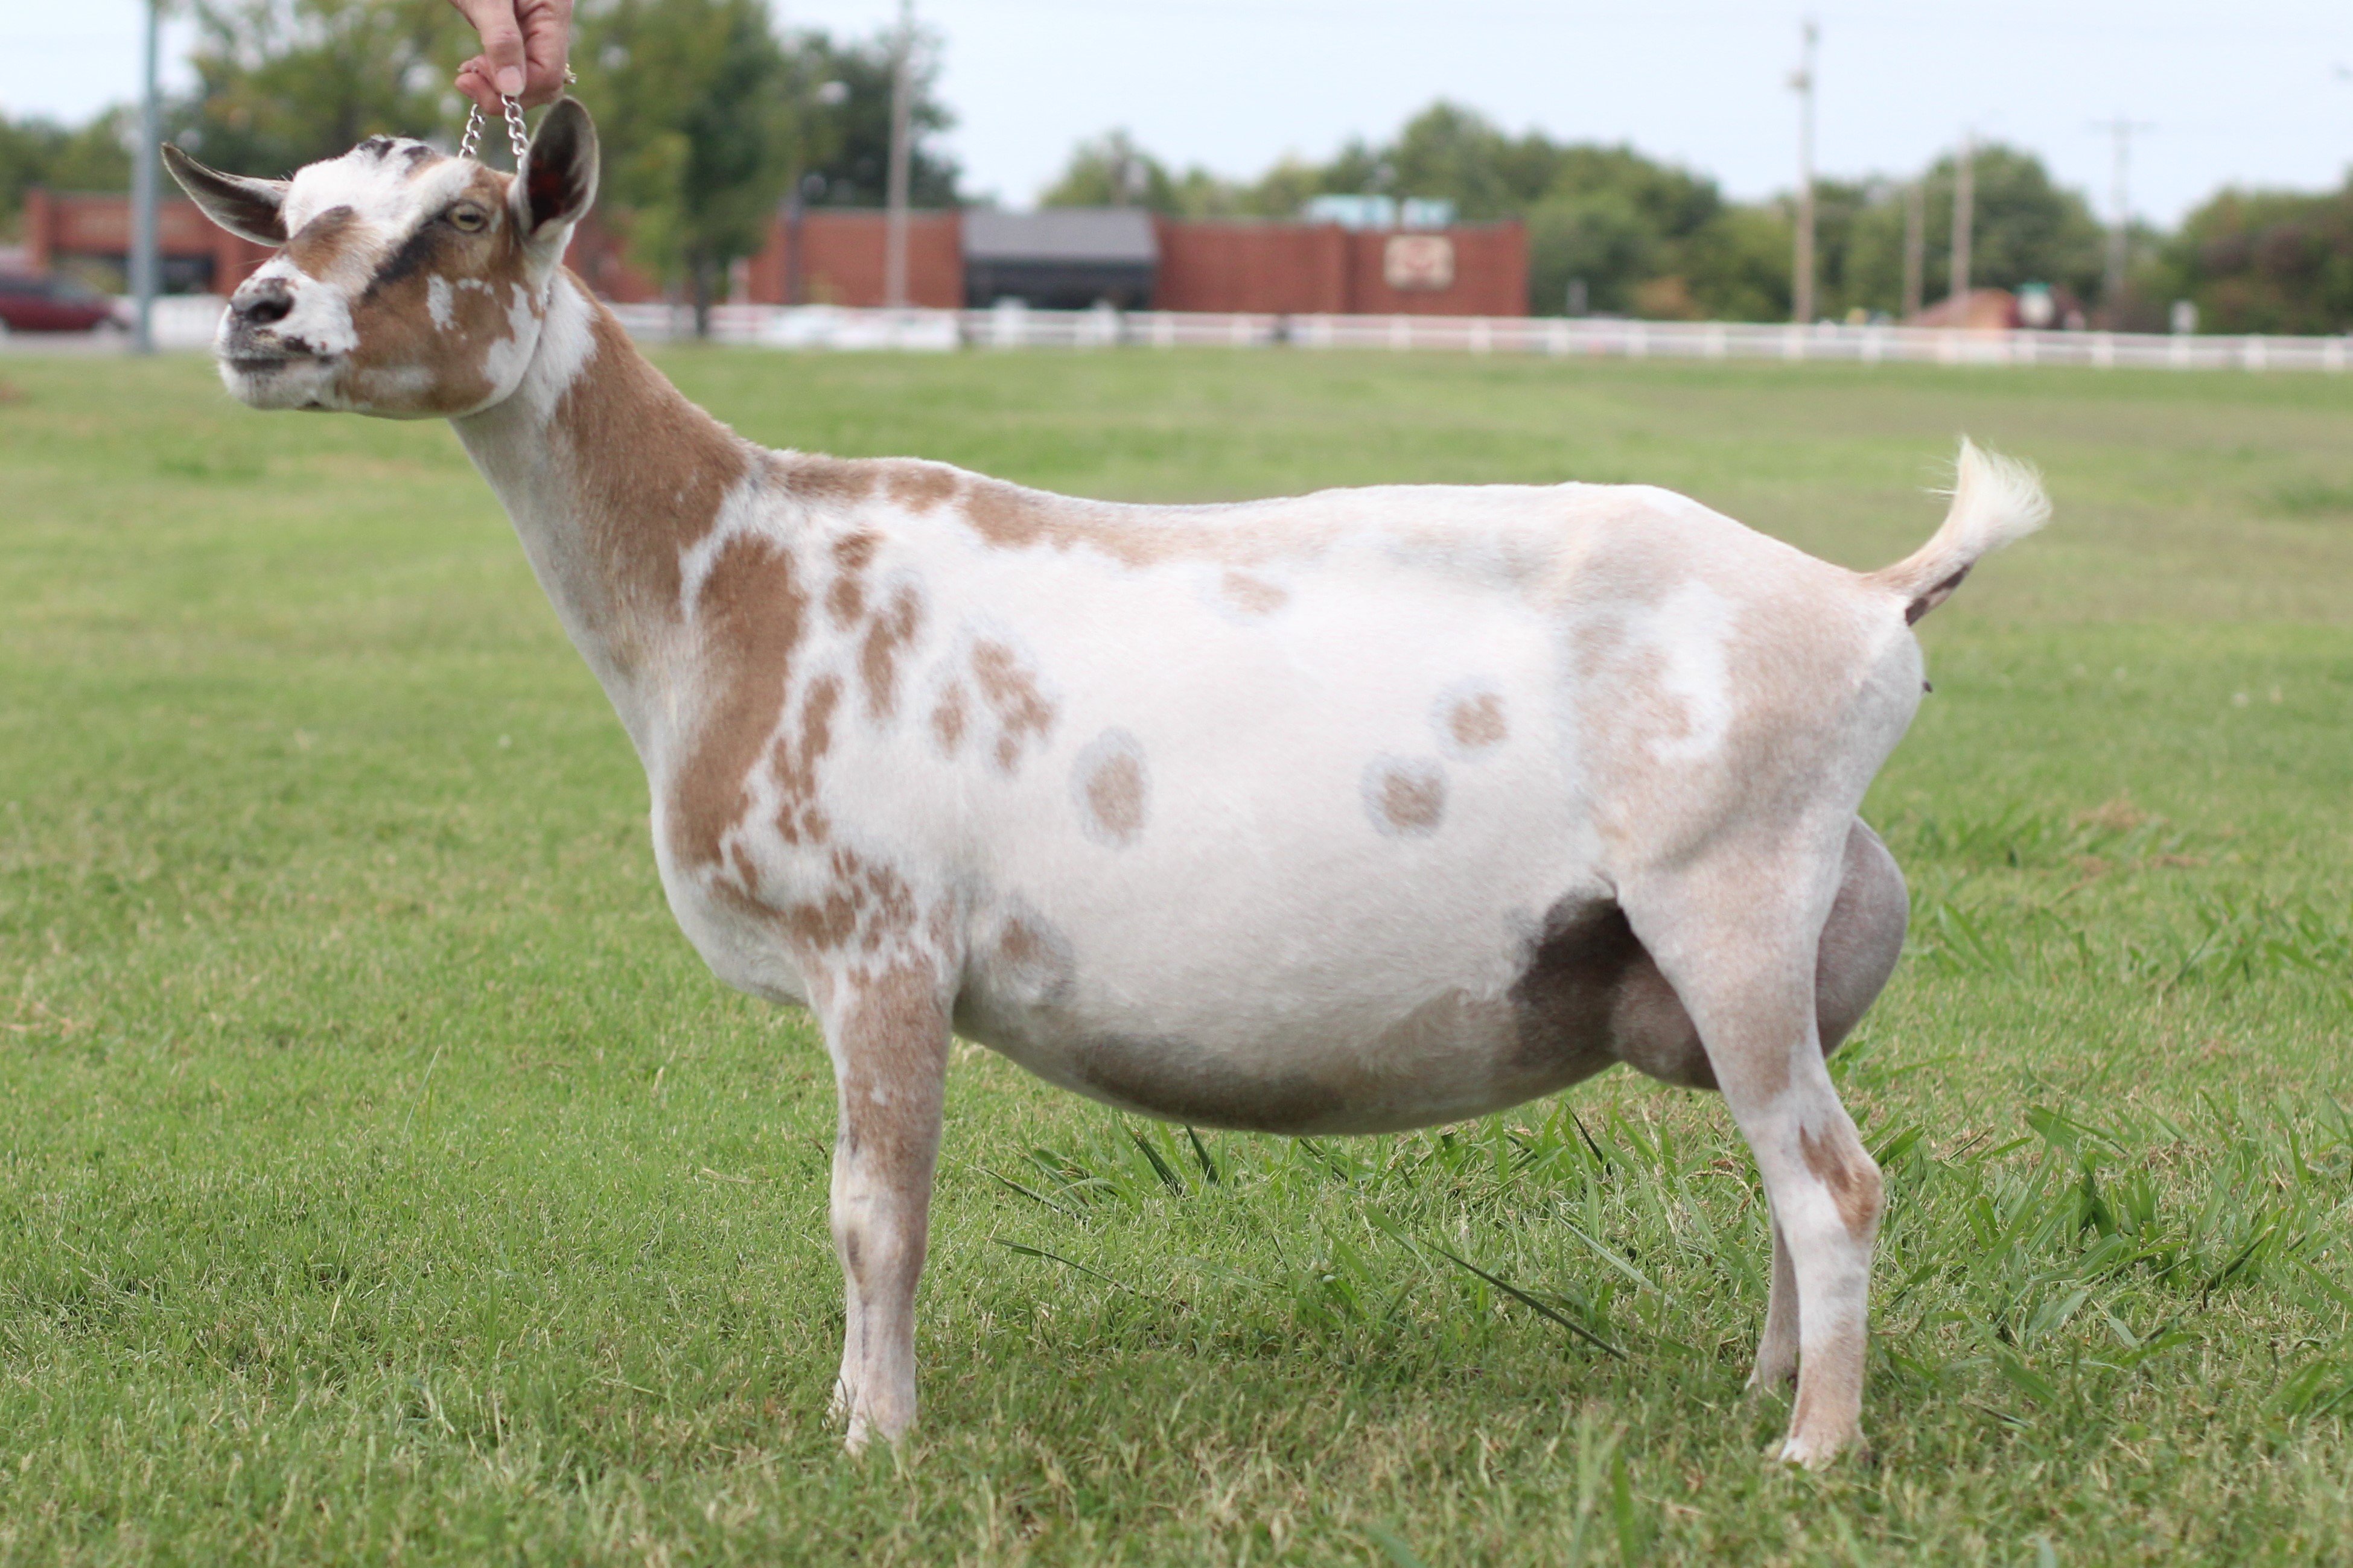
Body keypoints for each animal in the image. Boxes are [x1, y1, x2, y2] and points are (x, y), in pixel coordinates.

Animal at [164, 100, 2047, 1465]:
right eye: (289, 211)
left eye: (460, 220)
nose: (255, 316)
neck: (735, 568)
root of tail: (1869, 596)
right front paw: (860, 1416)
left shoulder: (884, 943)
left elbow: (875, 1215)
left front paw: (875, 1439)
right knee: (1787, 1175)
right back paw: (1762, 1393)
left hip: (1728, 896)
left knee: (1835, 1185)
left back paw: (1811, 1454)